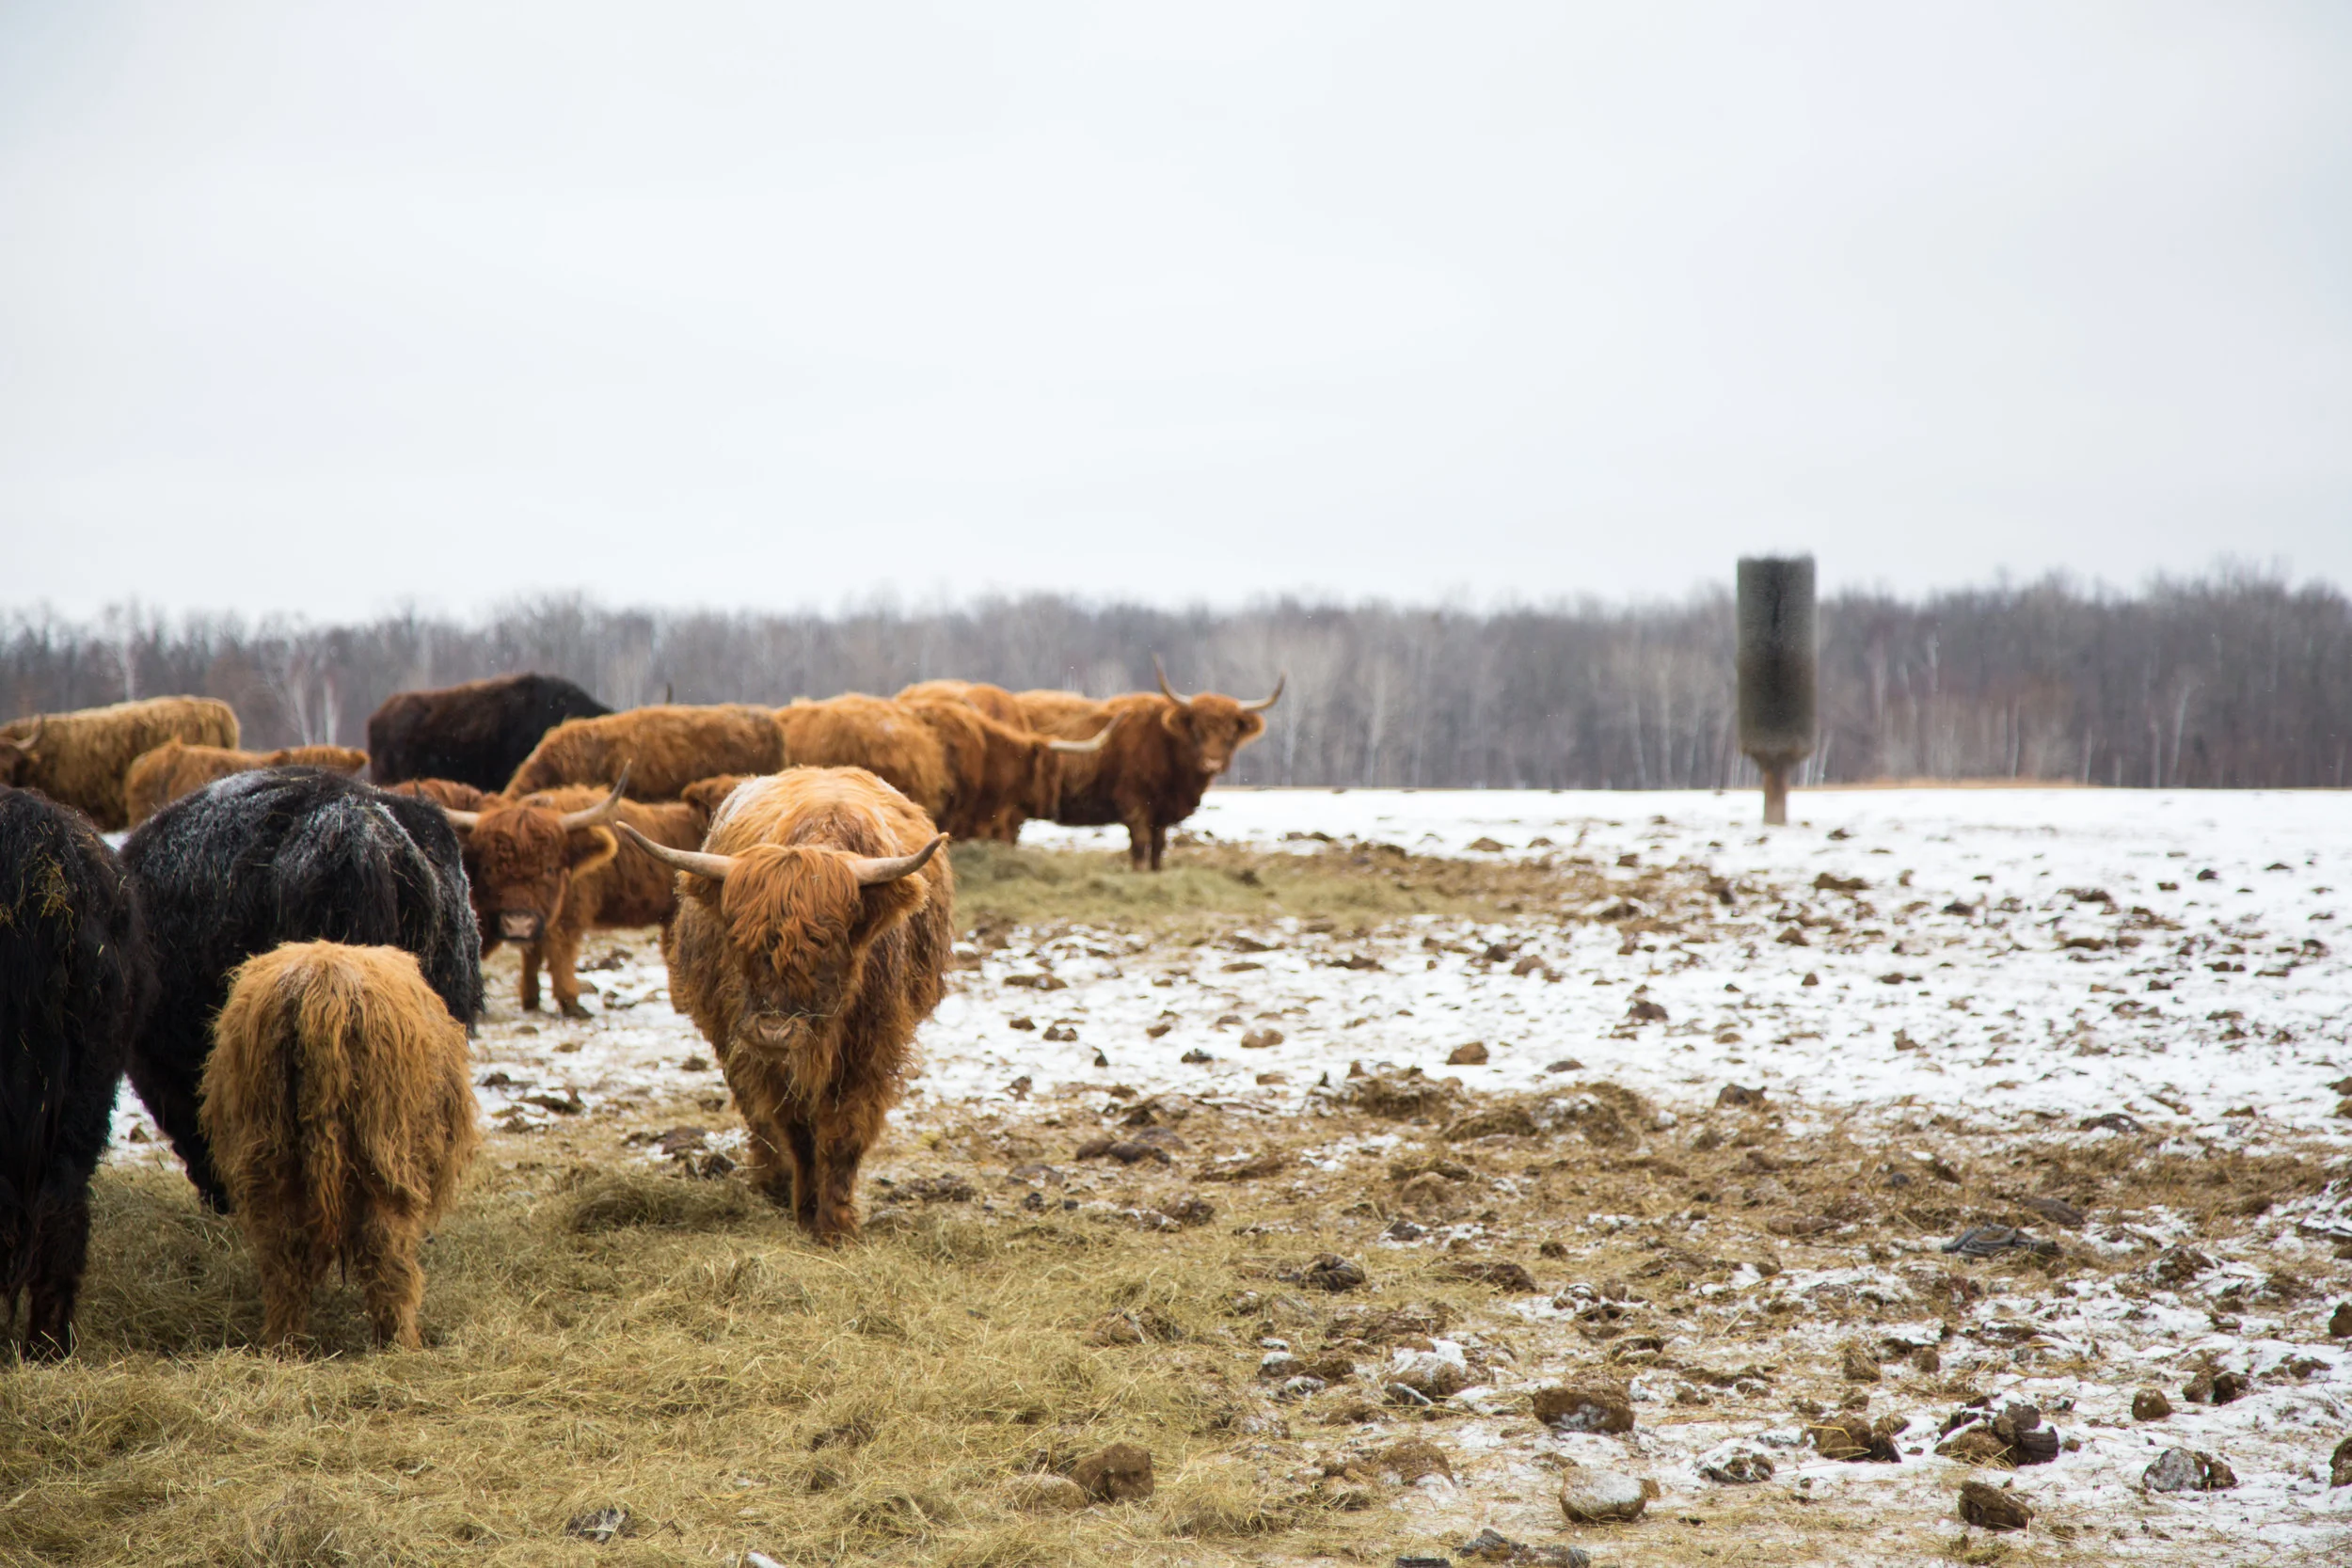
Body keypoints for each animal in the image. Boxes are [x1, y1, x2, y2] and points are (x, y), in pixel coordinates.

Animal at [201, 941, 478, 1351]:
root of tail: (323, 988)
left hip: (269, 1152)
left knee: (284, 1254)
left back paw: (285, 1345)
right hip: (385, 1156)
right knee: (386, 1250)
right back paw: (400, 1342)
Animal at [436, 771, 717, 1017]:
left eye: (549, 868)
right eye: (489, 867)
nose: (517, 924)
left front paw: (533, 1000)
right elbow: (557, 950)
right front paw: (570, 1002)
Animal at [619, 768, 951, 1241]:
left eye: (826, 944)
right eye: (738, 939)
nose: (774, 1031)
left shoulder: (871, 1049)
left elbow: (843, 1134)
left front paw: (835, 1226)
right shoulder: (762, 1056)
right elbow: (796, 1131)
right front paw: (806, 1208)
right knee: (757, 1116)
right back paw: (769, 1181)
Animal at [1020, 658, 1283, 869]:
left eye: (1231, 734)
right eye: (1198, 731)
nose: (1212, 763)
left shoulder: (1162, 814)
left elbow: (1158, 847)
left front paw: (1156, 873)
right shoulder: (1134, 804)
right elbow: (1140, 845)